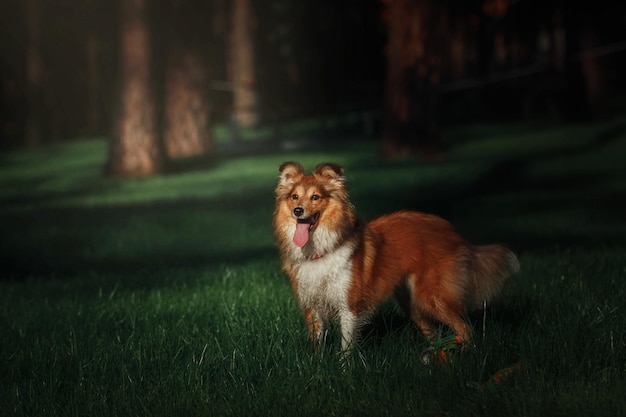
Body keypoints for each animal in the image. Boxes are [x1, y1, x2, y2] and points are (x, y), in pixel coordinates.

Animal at [272, 161, 516, 352]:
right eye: (294, 197)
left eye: (315, 197)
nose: (297, 211)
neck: (322, 248)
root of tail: (452, 231)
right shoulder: (312, 306)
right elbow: (316, 344)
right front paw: (318, 366)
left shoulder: (349, 306)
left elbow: (346, 346)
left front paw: (344, 372)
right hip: (412, 303)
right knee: (435, 333)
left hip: (432, 297)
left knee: (465, 330)